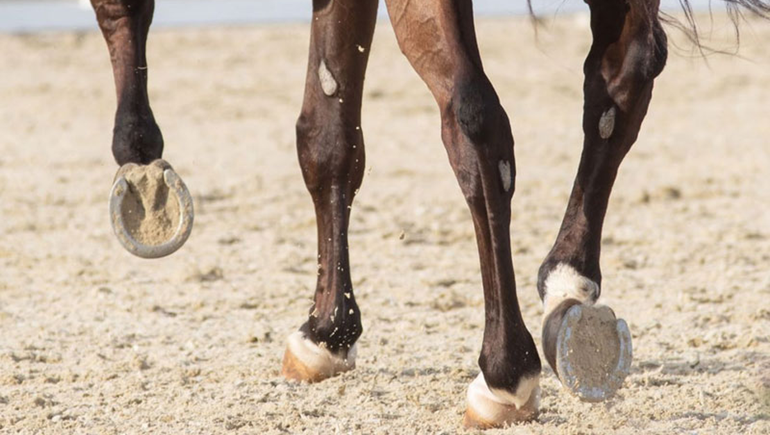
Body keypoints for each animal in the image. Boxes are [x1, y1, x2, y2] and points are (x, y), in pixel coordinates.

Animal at [89, 0, 769, 429]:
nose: (138, 147)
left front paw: (325, 330)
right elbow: (330, 137)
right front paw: (330, 329)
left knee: (477, 121)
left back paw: (505, 370)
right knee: (623, 74)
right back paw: (569, 288)